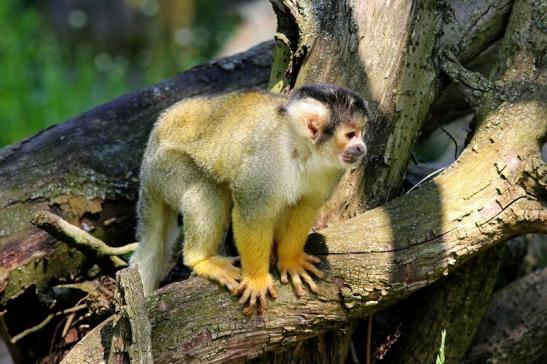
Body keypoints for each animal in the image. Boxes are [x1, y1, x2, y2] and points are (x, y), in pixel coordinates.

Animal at [131, 84, 368, 314]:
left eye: (360, 133)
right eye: (350, 135)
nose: (361, 147)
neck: (303, 150)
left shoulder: (331, 170)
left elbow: (305, 207)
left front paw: (290, 260)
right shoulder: (265, 159)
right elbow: (252, 211)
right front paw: (256, 279)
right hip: (166, 166)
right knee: (207, 188)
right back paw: (201, 259)